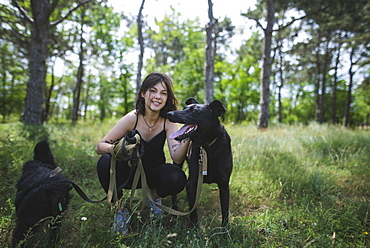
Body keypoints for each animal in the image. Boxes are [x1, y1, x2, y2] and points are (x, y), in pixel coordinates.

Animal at [168, 98, 233, 226]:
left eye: (194, 111)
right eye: (184, 108)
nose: (168, 114)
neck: (207, 147)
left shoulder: (224, 185)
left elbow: (225, 211)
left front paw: (225, 229)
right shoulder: (193, 183)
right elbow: (193, 210)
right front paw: (194, 227)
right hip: (178, 162)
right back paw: (175, 210)